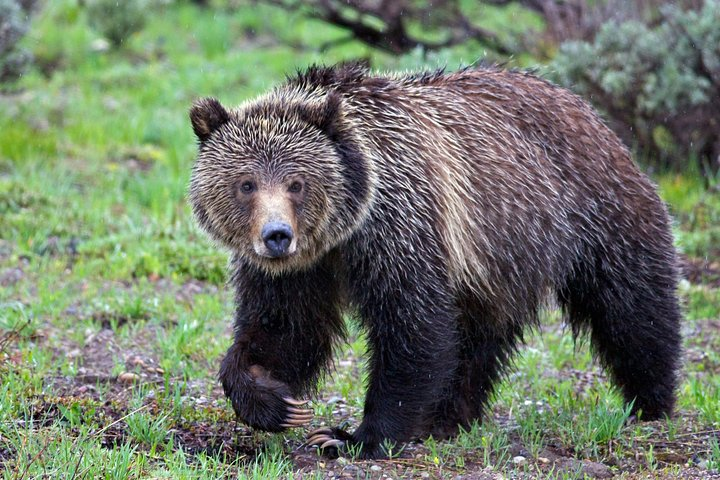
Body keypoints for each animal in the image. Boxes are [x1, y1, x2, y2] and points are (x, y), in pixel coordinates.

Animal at [188, 62, 682, 459]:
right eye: (246, 184)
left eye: (297, 183)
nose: (277, 236)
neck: (342, 232)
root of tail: (585, 106)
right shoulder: (299, 270)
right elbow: (285, 328)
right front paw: (274, 400)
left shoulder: (401, 224)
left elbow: (413, 325)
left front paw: (353, 437)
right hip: (496, 263)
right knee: (479, 338)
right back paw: (448, 417)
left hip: (592, 211)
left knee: (631, 306)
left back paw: (651, 400)